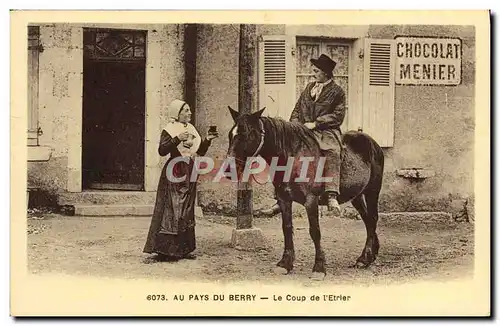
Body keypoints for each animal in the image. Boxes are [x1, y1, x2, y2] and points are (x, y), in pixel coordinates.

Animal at [227, 105, 386, 278]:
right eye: (231, 134)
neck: (293, 157)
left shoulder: (311, 200)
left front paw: (319, 267)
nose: (229, 169)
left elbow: (315, 231)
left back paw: (365, 258)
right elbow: (287, 228)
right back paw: (368, 256)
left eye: (246, 134)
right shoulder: (284, 199)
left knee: (373, 218)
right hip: (356, 195)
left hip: (372, 191)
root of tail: (373, 144)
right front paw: (285, 264)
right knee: (368, 220)